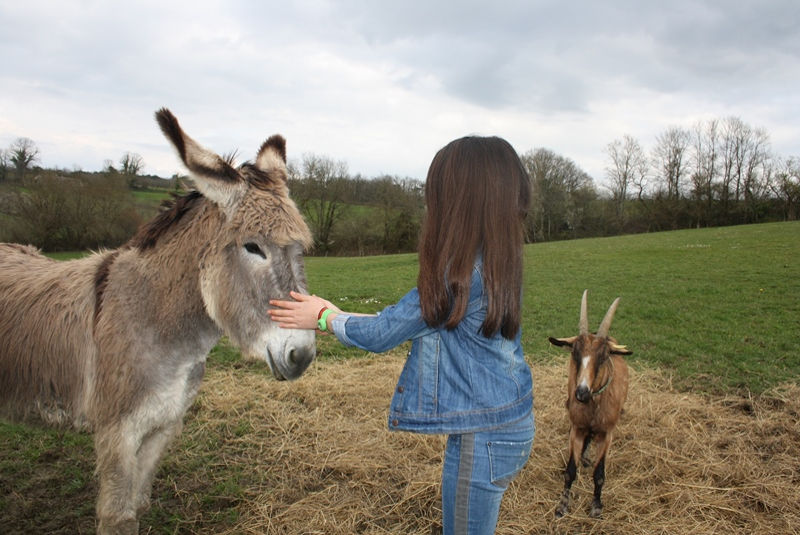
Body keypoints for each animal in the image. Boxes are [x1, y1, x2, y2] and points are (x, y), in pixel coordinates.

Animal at [552, 288, 632, 520]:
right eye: (574, 353)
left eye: (604, 356)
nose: (581, 392)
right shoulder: (577, 428)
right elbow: (570, 471)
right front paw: (562, 505)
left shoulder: (607, 434)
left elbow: (599, 474)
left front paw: (596, 506)